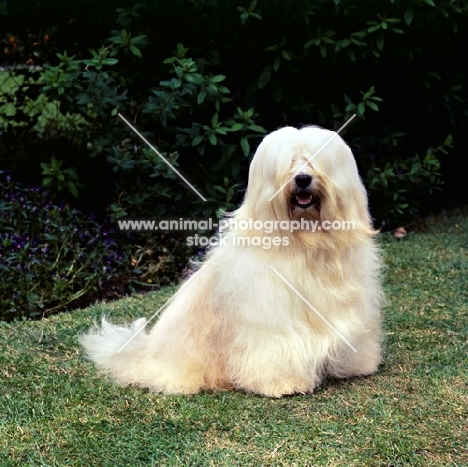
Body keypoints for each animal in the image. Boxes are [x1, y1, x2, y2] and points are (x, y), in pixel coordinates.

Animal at [79, 125, 384, 398]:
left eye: (313, 159)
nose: (302, 179)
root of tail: (146, 351)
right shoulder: (269, 317)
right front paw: (283, 383)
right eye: (289, 162)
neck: (305, 241)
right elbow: (276, 346)